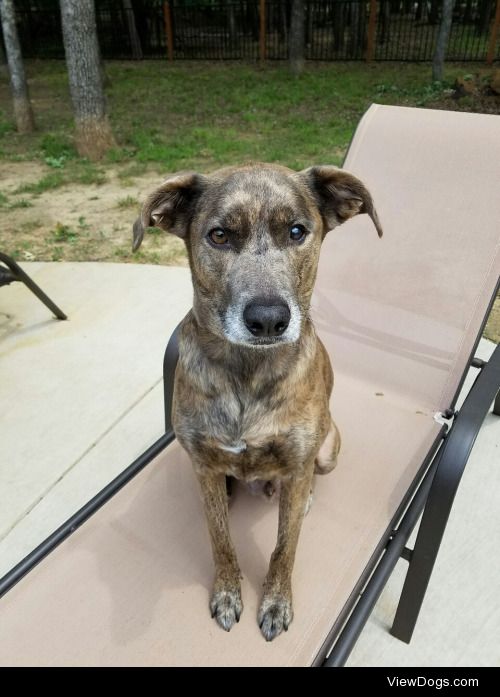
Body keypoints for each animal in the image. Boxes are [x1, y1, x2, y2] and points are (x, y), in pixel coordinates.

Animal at [134, 163, 382, 640]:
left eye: (297, 231)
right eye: (218, 236)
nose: (268, 320)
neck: (247, 374)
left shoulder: (300, 462)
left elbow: (286, 547)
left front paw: (276, 602)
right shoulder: (204, 465)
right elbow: (220, 540)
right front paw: (228, 592)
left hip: (328, 449)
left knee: (307, 476)